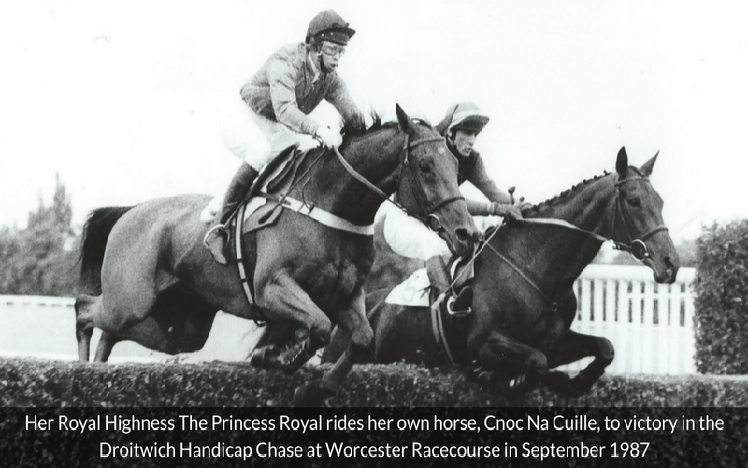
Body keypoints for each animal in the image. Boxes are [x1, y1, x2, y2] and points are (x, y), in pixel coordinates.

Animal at [74, 106, 480, 406]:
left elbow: (361, 337)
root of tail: (129, 211)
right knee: (85, 311)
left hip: (180, 325)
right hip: (131, 299)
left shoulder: (347, 295)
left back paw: (99, 372)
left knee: (112, 332)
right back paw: (82, 371)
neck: (328, 203)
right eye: (425, 165)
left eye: (456, 166)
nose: (467, 234)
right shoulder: (272, 287)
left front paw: (316, 386)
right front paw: (273, 357)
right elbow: (318, 327)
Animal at [324, 146, 680, 394]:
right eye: (634, 200)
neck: (537, 272)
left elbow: (604, 348)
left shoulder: (555, 340)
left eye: (661, 202)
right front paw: (502, 379)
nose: (671, 263)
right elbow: (536, 362)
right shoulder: (484, 344)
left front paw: (570, 383)